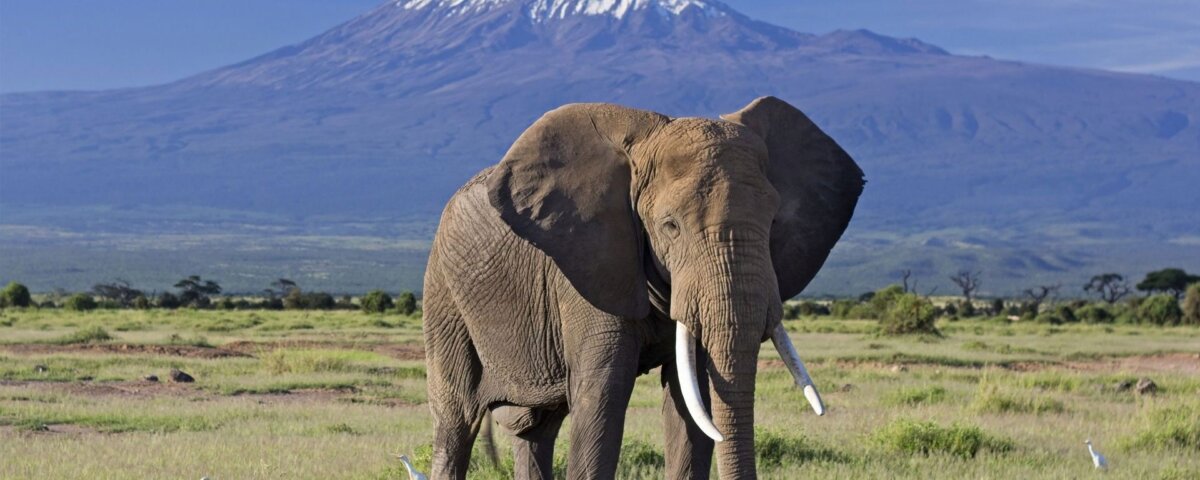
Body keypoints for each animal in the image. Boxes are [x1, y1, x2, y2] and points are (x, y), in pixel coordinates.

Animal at [421, 96, 864, 479]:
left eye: (773, 223)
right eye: (670, 226)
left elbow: (692, 399)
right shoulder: (588, 267)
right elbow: (603, 397)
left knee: (537, 430)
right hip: (443, 295)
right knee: (456, 421)